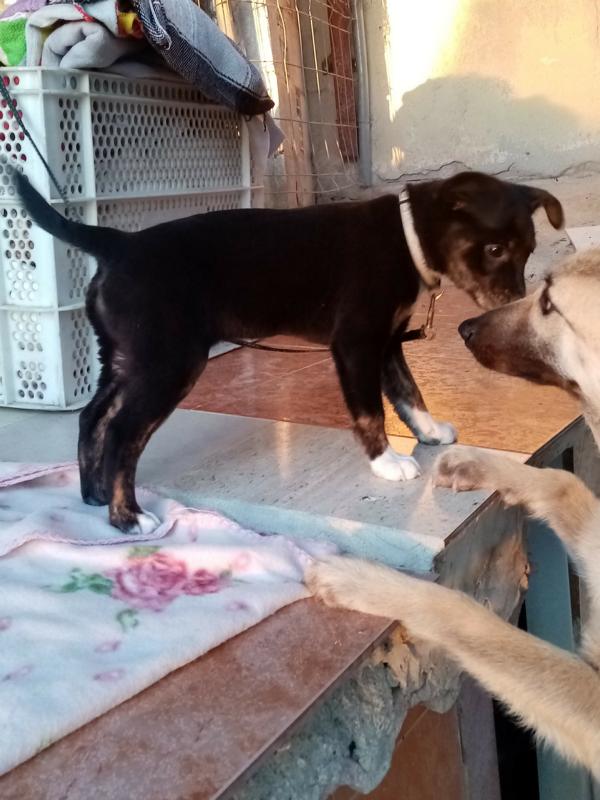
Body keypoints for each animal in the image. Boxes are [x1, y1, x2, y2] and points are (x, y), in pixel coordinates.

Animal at [13, 170, 562, 533]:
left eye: (528, 250)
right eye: (494, 249)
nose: (514, 302)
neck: (407, 238)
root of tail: (118, 244)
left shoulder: (386, 342)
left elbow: (409, 393)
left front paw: (428, 433)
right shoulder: (357, 342)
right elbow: (370, 410)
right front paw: (386, 463)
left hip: (129, 359)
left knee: (93, 418)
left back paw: (92, 494)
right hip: (168, 364)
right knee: (124, 433)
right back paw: (127, 517)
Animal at [308, 249, 600, 778]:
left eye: (549, 304)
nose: (463, 327)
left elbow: (462, 613)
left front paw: (360, 578)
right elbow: (561, 482)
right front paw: (474, 464)